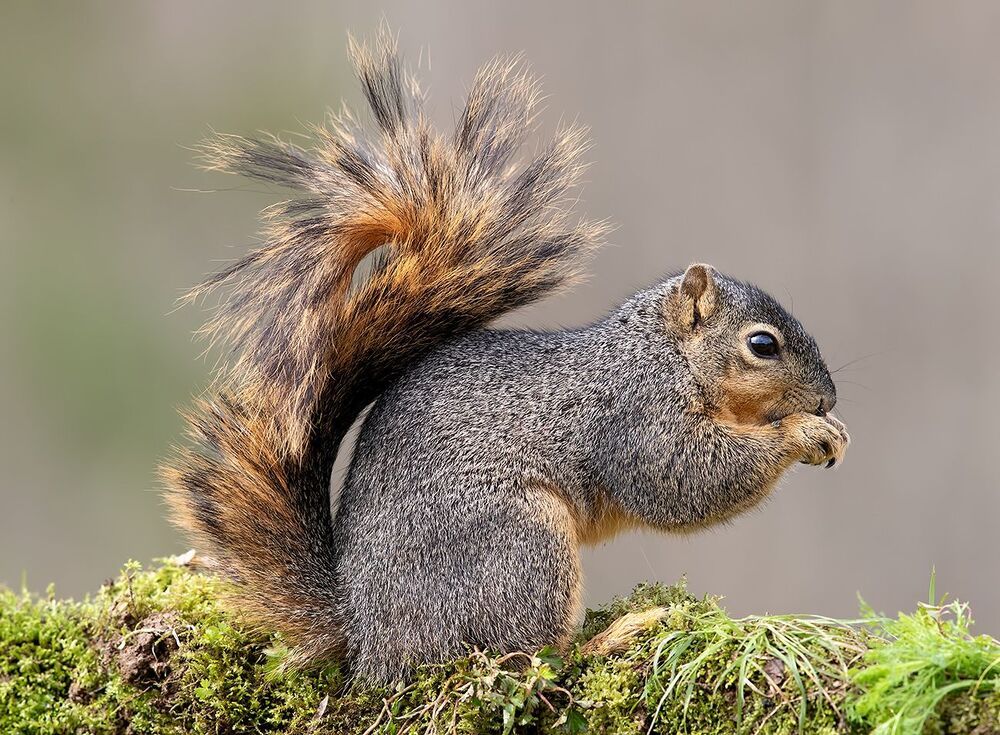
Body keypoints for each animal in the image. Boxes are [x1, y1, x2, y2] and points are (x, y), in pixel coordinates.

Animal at [162, 31, 849, 685]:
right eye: (762, 345)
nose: (829, 398)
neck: (660, 356)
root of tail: (368, 635)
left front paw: (830, 428)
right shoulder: (634, 418)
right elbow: (683, 480)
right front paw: (803, 432)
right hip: (520, 545)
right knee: (528, 657)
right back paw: (613, 636)